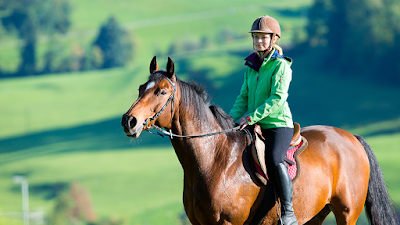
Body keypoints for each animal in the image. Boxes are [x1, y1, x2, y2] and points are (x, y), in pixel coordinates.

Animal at [120, 55, 396, 224]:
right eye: (141, 88)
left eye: (162, 91)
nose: (129, 121)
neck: (214, 160)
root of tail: (352, 138)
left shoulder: (227, 222)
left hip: (347, 213)